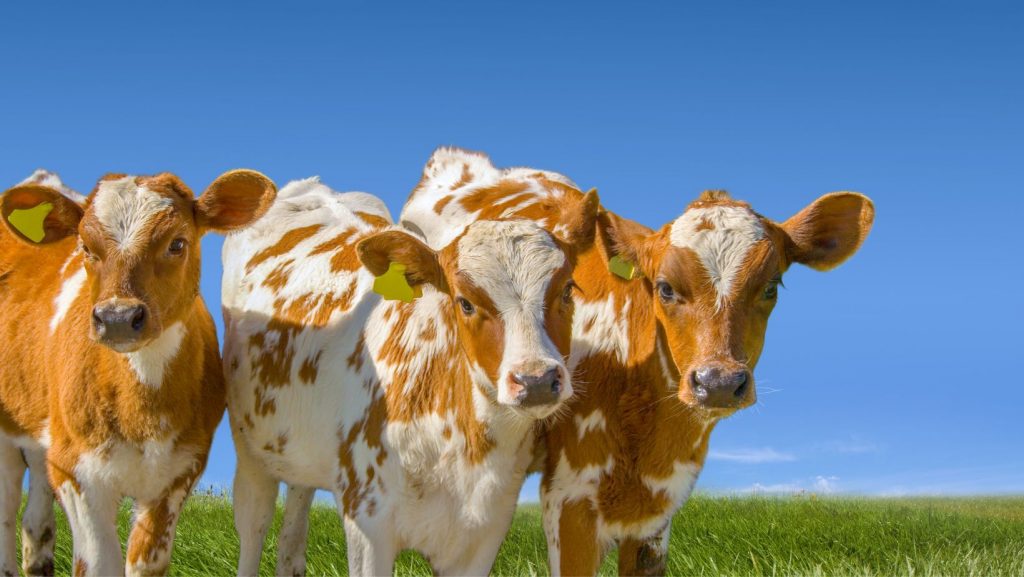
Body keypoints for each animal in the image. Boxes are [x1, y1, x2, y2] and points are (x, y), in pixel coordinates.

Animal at [0, 169, 276, 573]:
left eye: (177, 243)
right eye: (85, 246)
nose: (118, 318)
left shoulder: (178, 472)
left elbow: (145, 563)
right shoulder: (77, 472)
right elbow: (100, 564)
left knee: (34, 516)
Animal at [220, 176, 598, 577]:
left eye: (568, 290)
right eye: (465, 302)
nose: (536, 380)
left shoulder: (484, 533)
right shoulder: (367, 521)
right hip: (251, 453)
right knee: (254, 526)